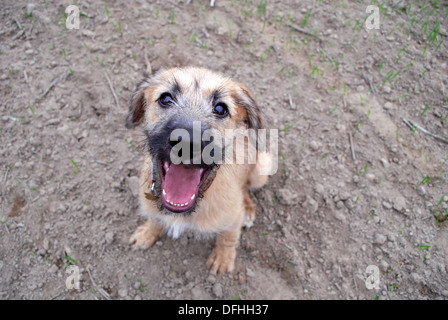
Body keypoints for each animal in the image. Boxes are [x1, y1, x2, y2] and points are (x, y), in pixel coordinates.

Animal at [126, 66, 272, 274]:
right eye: (165, 98)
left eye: (220, 108)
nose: (186, 142)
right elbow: (155, 219)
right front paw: (147, 233)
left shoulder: (233, 217)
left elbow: (229, 237)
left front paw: (223, 258)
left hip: (263, 167)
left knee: (245, 188)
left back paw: (249, 209)